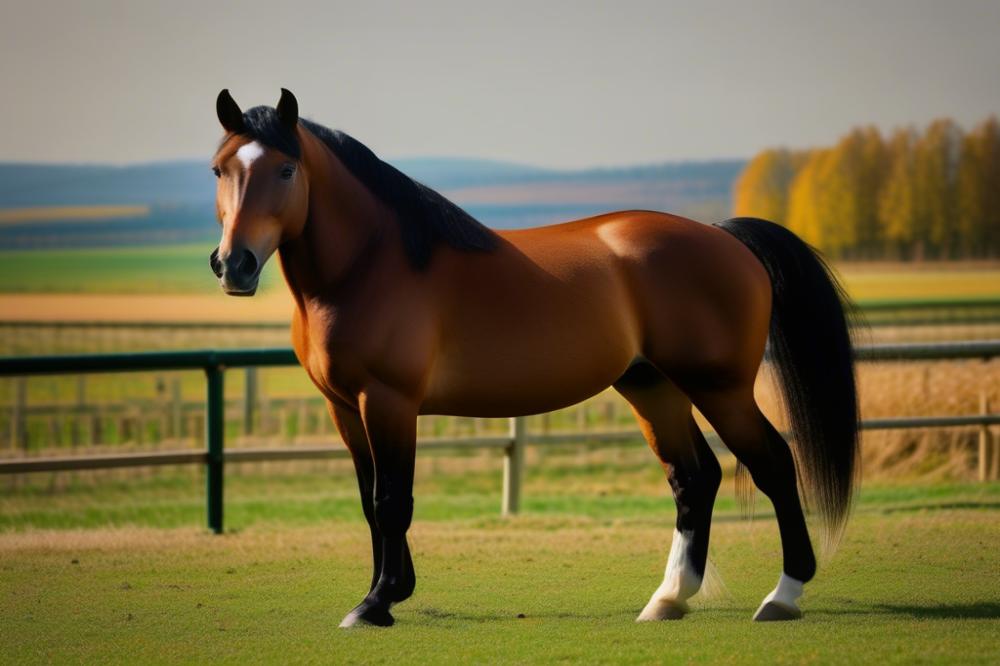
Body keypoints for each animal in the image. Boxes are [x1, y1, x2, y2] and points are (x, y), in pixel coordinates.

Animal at [209, 89, 860, 628]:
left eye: (286, 168)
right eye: (220, 169)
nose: (233, 264)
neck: (371, 266)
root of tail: (725, 236)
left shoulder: (388, 402)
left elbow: (392, 500)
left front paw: (378, 602)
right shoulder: (345, 408)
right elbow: (370, 503)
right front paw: (383, 593)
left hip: (720, 387)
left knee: (773, 463)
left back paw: (783, 596)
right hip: (653, 386)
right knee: (693, 478)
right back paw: (668, 599)